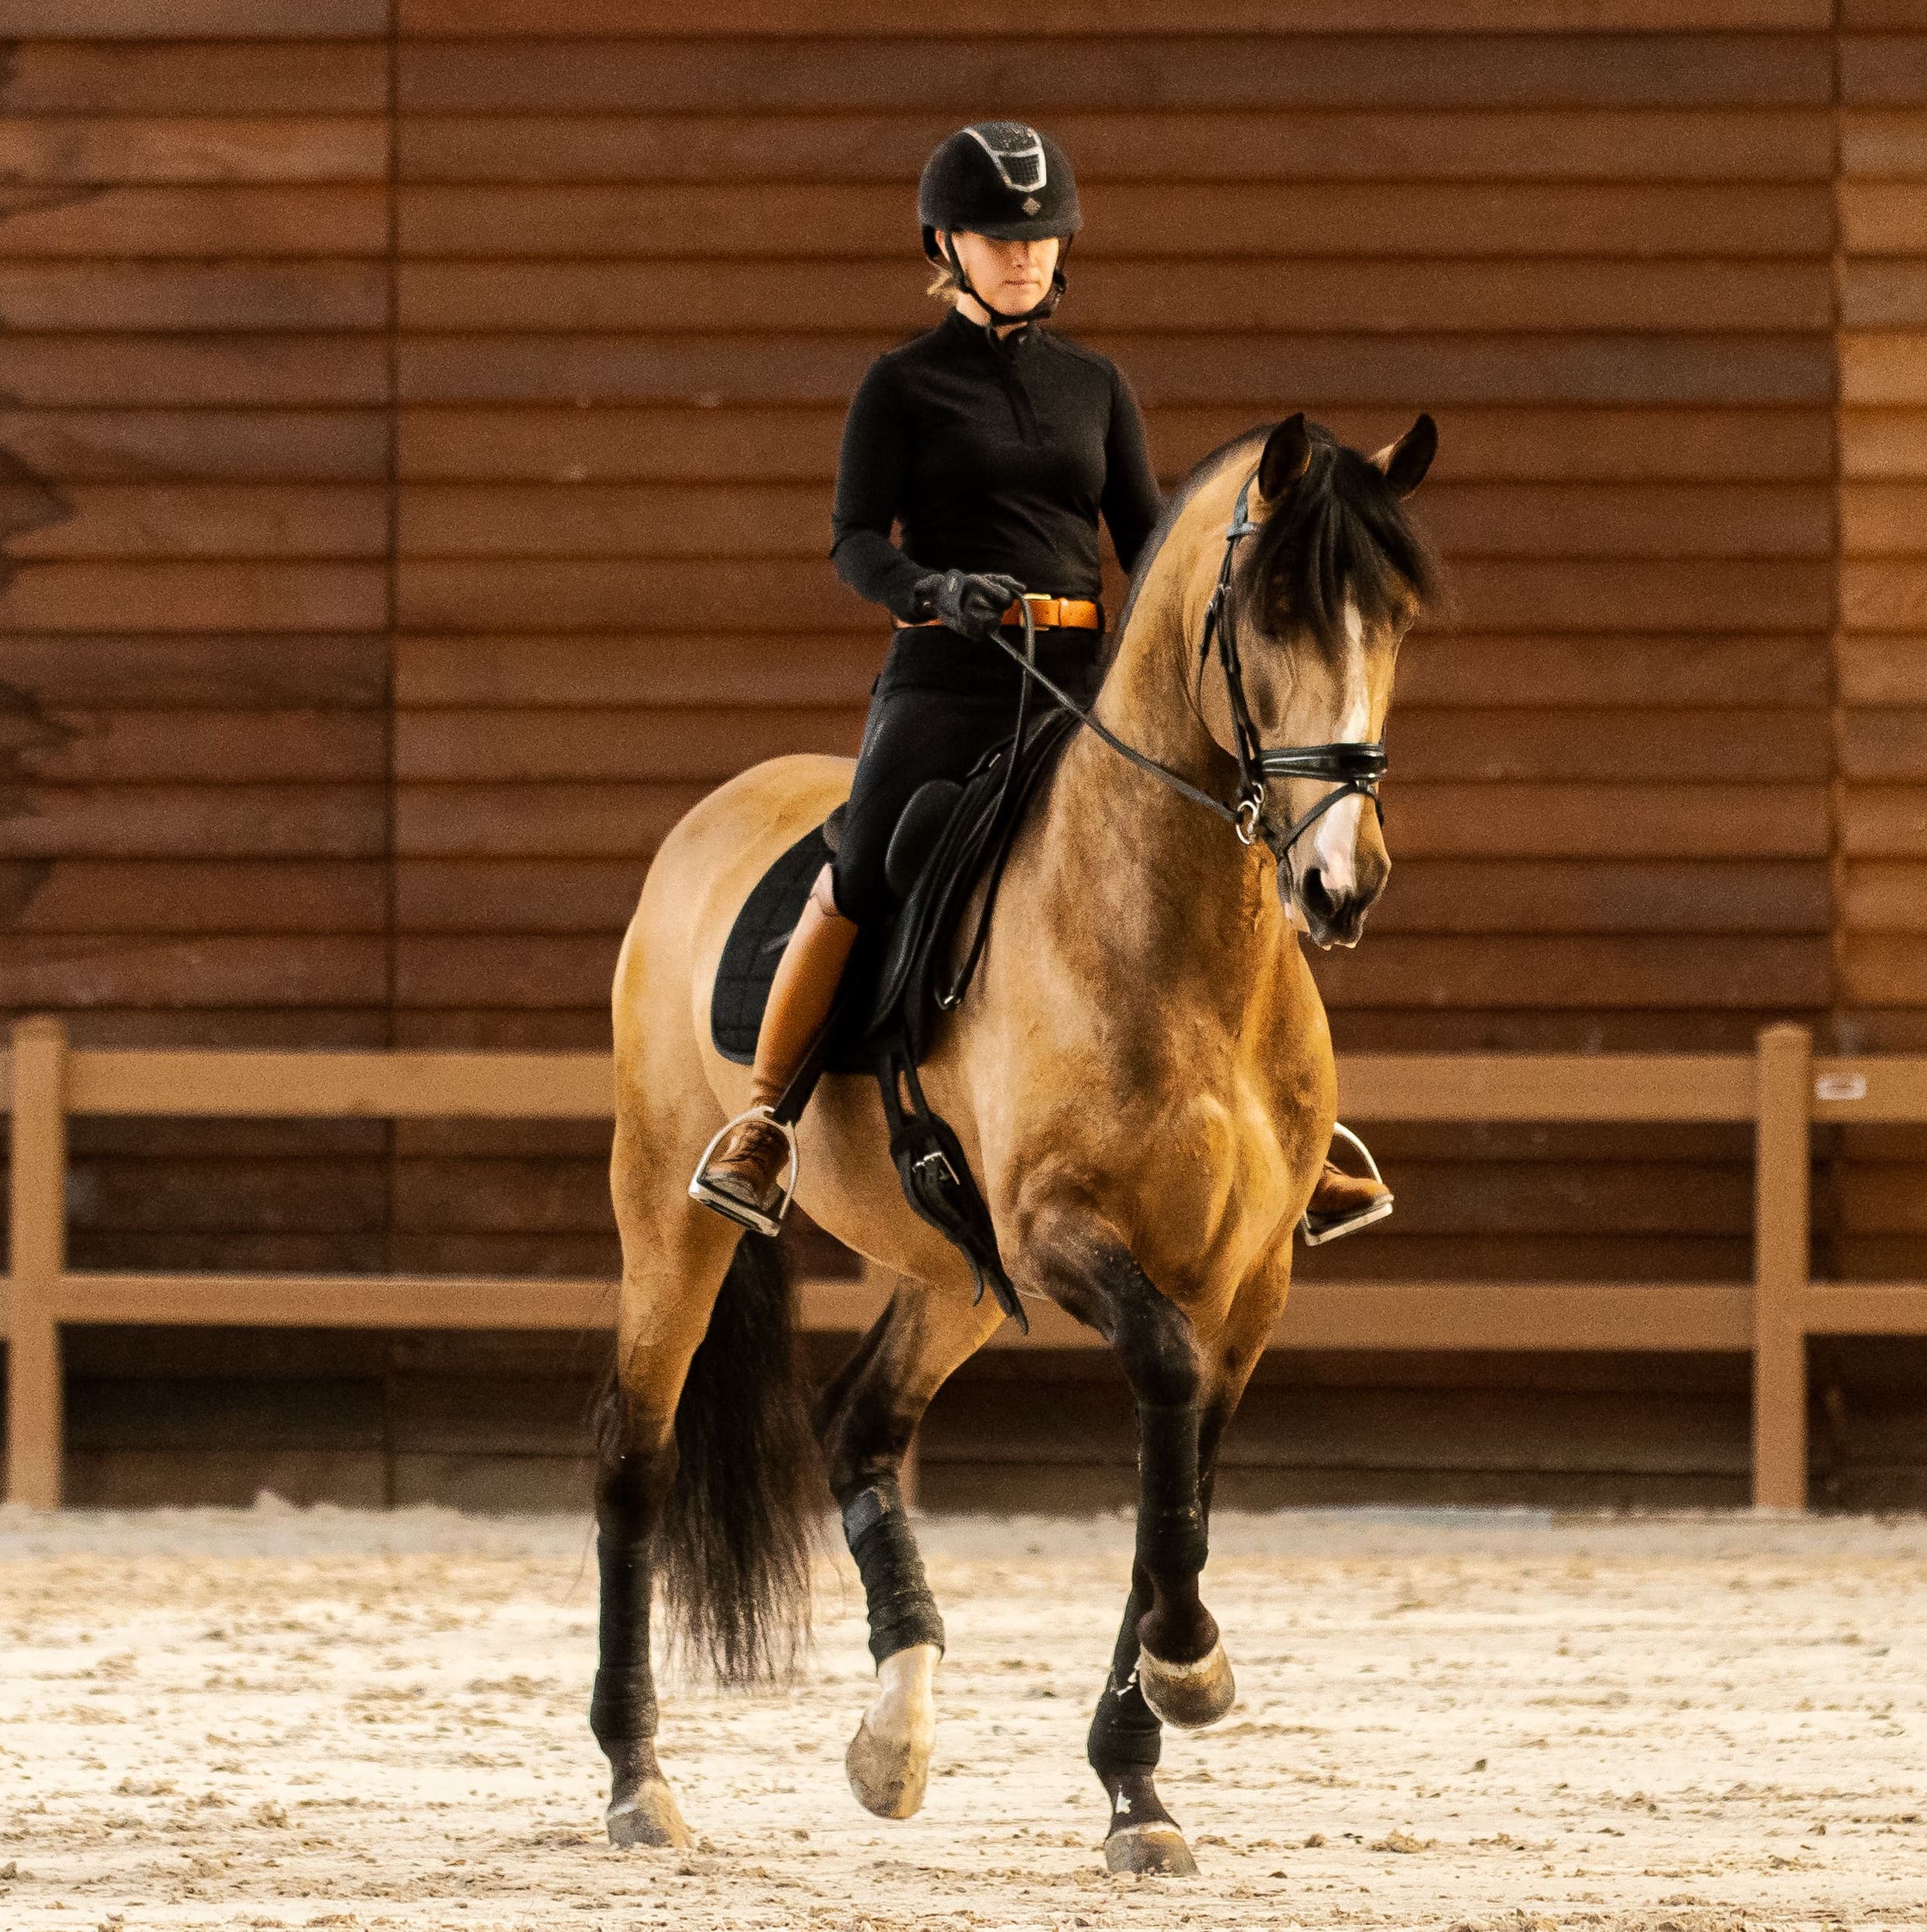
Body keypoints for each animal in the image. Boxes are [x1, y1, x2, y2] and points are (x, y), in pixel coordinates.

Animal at [592, 408, 1442, 1876]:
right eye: (1274, 608)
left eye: (1390, 616)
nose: (1342, 883)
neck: (1183, 948)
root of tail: (718, 813)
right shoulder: (1063, 1235)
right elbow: (1164, 1394)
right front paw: (1190, 1670)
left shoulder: (1248, 1276)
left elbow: (1183, 1468)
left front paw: (1139, 1781)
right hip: (673, 1213)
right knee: (635, 1463)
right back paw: (639, 1779)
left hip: (950, 1273)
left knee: (860, 1423)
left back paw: (892, 1738)